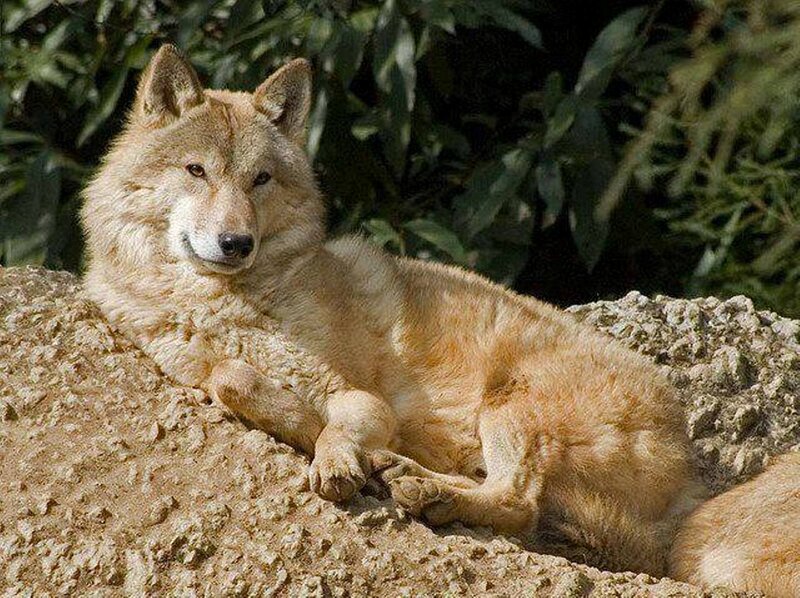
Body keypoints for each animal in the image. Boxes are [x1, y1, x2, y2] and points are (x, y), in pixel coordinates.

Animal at [82, 44, 783, 582]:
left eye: (260, 180)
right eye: (196, 171)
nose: (236, 243)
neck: (228, 307)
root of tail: (690, 469)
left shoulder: (358, 395)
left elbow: (338, 417)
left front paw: (335, 454)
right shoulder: (190, 362)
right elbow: (229, 378)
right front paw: (308, 428)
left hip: (512, 402)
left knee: (518, 503)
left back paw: (423, 487)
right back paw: (412, 476)